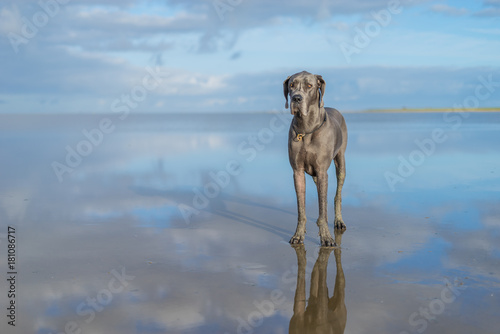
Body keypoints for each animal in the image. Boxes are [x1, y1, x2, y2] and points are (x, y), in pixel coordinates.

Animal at [284, 70, 350, 247]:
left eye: (309, 86)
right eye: (291, 85)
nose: (296, 98)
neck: (306, 129)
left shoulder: (322, 172)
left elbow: (323, 208)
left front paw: (326, 236)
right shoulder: (297, 172)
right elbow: (301, 209)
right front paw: (298, 235)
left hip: (340, 161)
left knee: (337, 194)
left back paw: (338, 220)